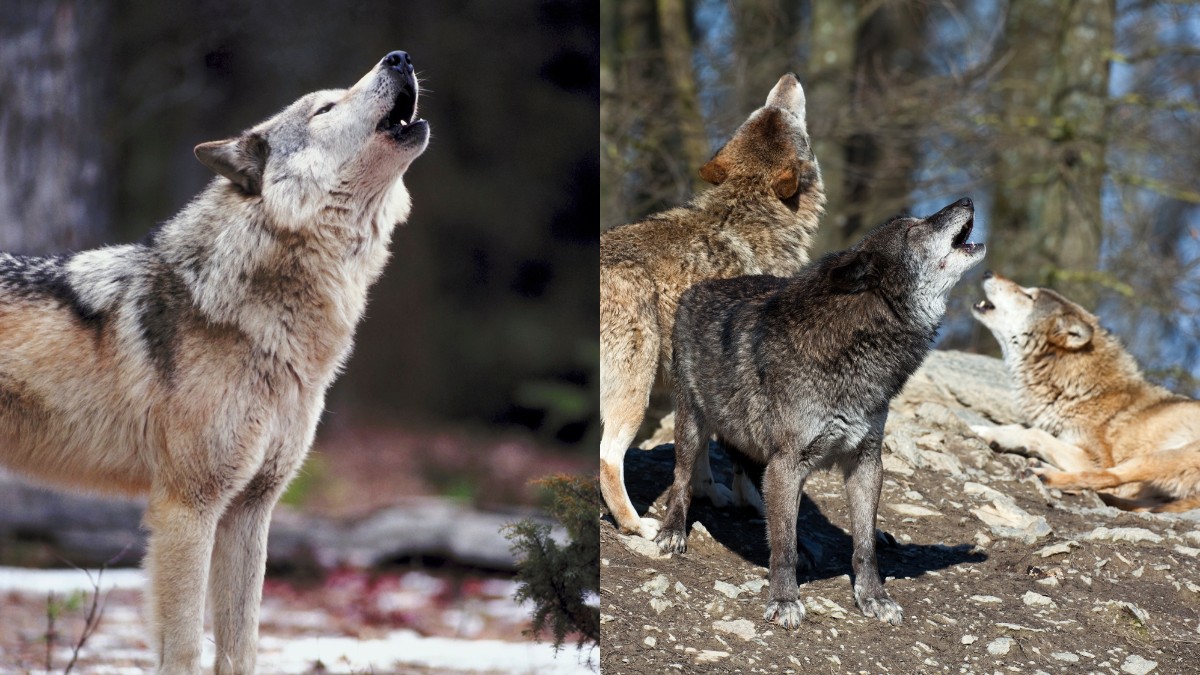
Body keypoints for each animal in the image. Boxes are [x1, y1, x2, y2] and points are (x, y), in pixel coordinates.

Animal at [0, 51, 428, 673]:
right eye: (326, 107)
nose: (400, 58)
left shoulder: (251, 510)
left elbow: (241, 644)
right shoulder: (187, 508)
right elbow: (182, 648)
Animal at [600, 74, 825, 539]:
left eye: (768, 114)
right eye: (781, 114)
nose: (789, 76)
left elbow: (698, 448)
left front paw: (705, 491)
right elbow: (741, 461)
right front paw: (752, 502)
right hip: (635, 391)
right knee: (608, 460)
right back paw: (637, 526)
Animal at [656, 198, 985, 628]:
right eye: (915, 228)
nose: (967, 201)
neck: (859, 347)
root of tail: (699, 287)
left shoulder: (866, 461)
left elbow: (864, 545)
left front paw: (873, 597)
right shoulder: (787, 462)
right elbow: (781, 547)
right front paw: (784, 600)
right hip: (692, 422)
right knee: (681, 478)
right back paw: (673, 530)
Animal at [970, 273, 1200, 513]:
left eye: (1029, 296)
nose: (987, 273)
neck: (1080, 390)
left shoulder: (1096, 458)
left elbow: (1035, 433)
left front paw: (989, 432)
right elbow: (1023, 427)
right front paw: (992, 431)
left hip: (1156, 458)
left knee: (1108, 478)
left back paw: (1044, 475)